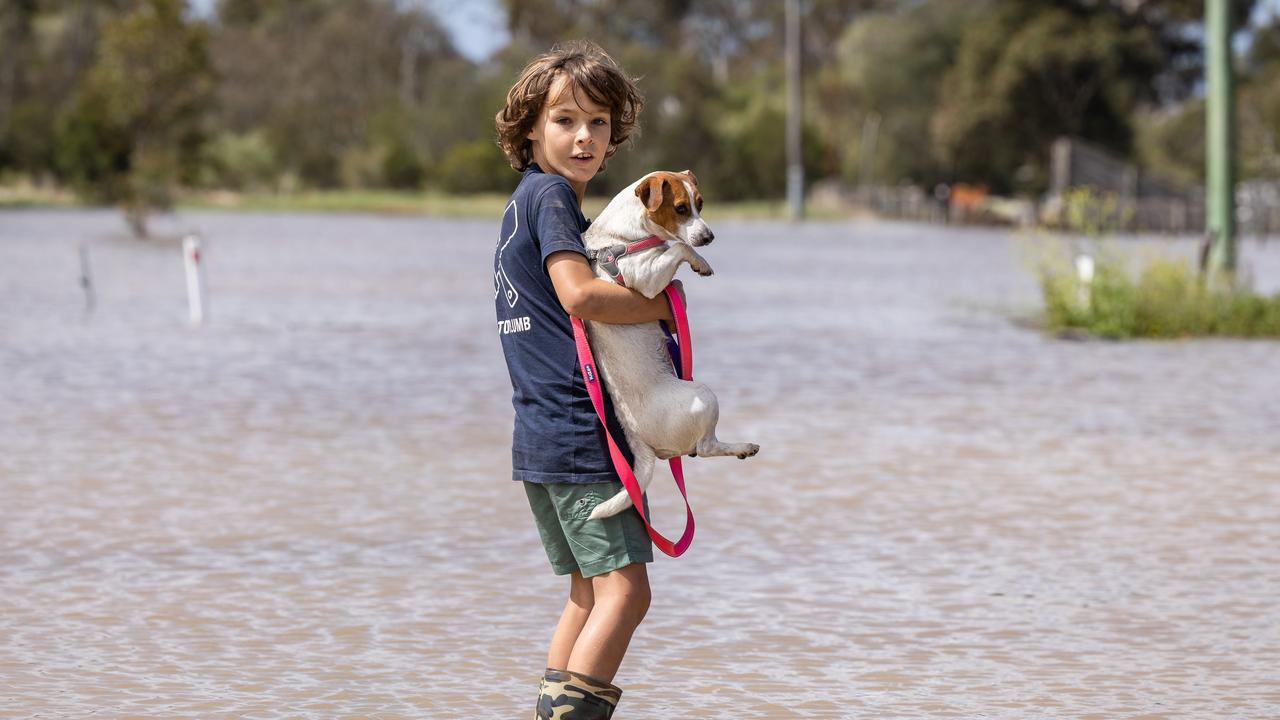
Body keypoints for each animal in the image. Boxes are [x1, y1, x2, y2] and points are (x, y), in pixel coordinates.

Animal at [583, 170, 757, 517]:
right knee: (704, 448)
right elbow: (678, 249)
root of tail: (638, 442)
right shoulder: (646, 280)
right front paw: (700, 261)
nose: (709, 237)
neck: (625, 235)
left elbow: (676, 269)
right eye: (680, 208)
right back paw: (743, 446)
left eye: (700, 204)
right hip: (705, 396)